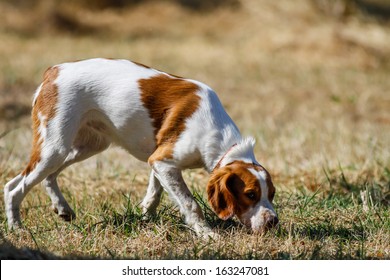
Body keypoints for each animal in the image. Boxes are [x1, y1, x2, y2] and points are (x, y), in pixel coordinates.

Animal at [3, 58, 278, 237]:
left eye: (272, 194)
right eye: (250, 194)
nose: (273, 222)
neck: (218, 134)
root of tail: (54, 71)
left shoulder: (159, 161)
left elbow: (155, 193)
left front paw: (145, 216)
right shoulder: (164, 161)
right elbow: (191, 204)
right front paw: (207, 234)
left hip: (87, 145)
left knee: (44, 177)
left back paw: (62, 208)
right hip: (55, 146)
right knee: (13, 187)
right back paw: (17, 228)